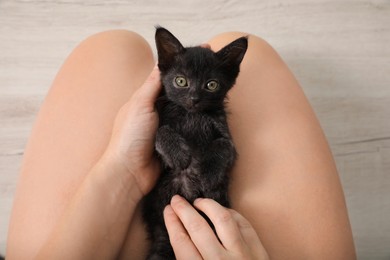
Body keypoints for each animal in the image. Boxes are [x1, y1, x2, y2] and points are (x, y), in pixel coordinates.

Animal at [142, 27, 247, 258]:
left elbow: (223, 146)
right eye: (181, 81)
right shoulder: (157, 142)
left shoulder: (228, 139)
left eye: (211, 85)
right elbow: (160, 131)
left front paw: (208, 174)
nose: (194, 99)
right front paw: (179, 156)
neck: (192, 115)